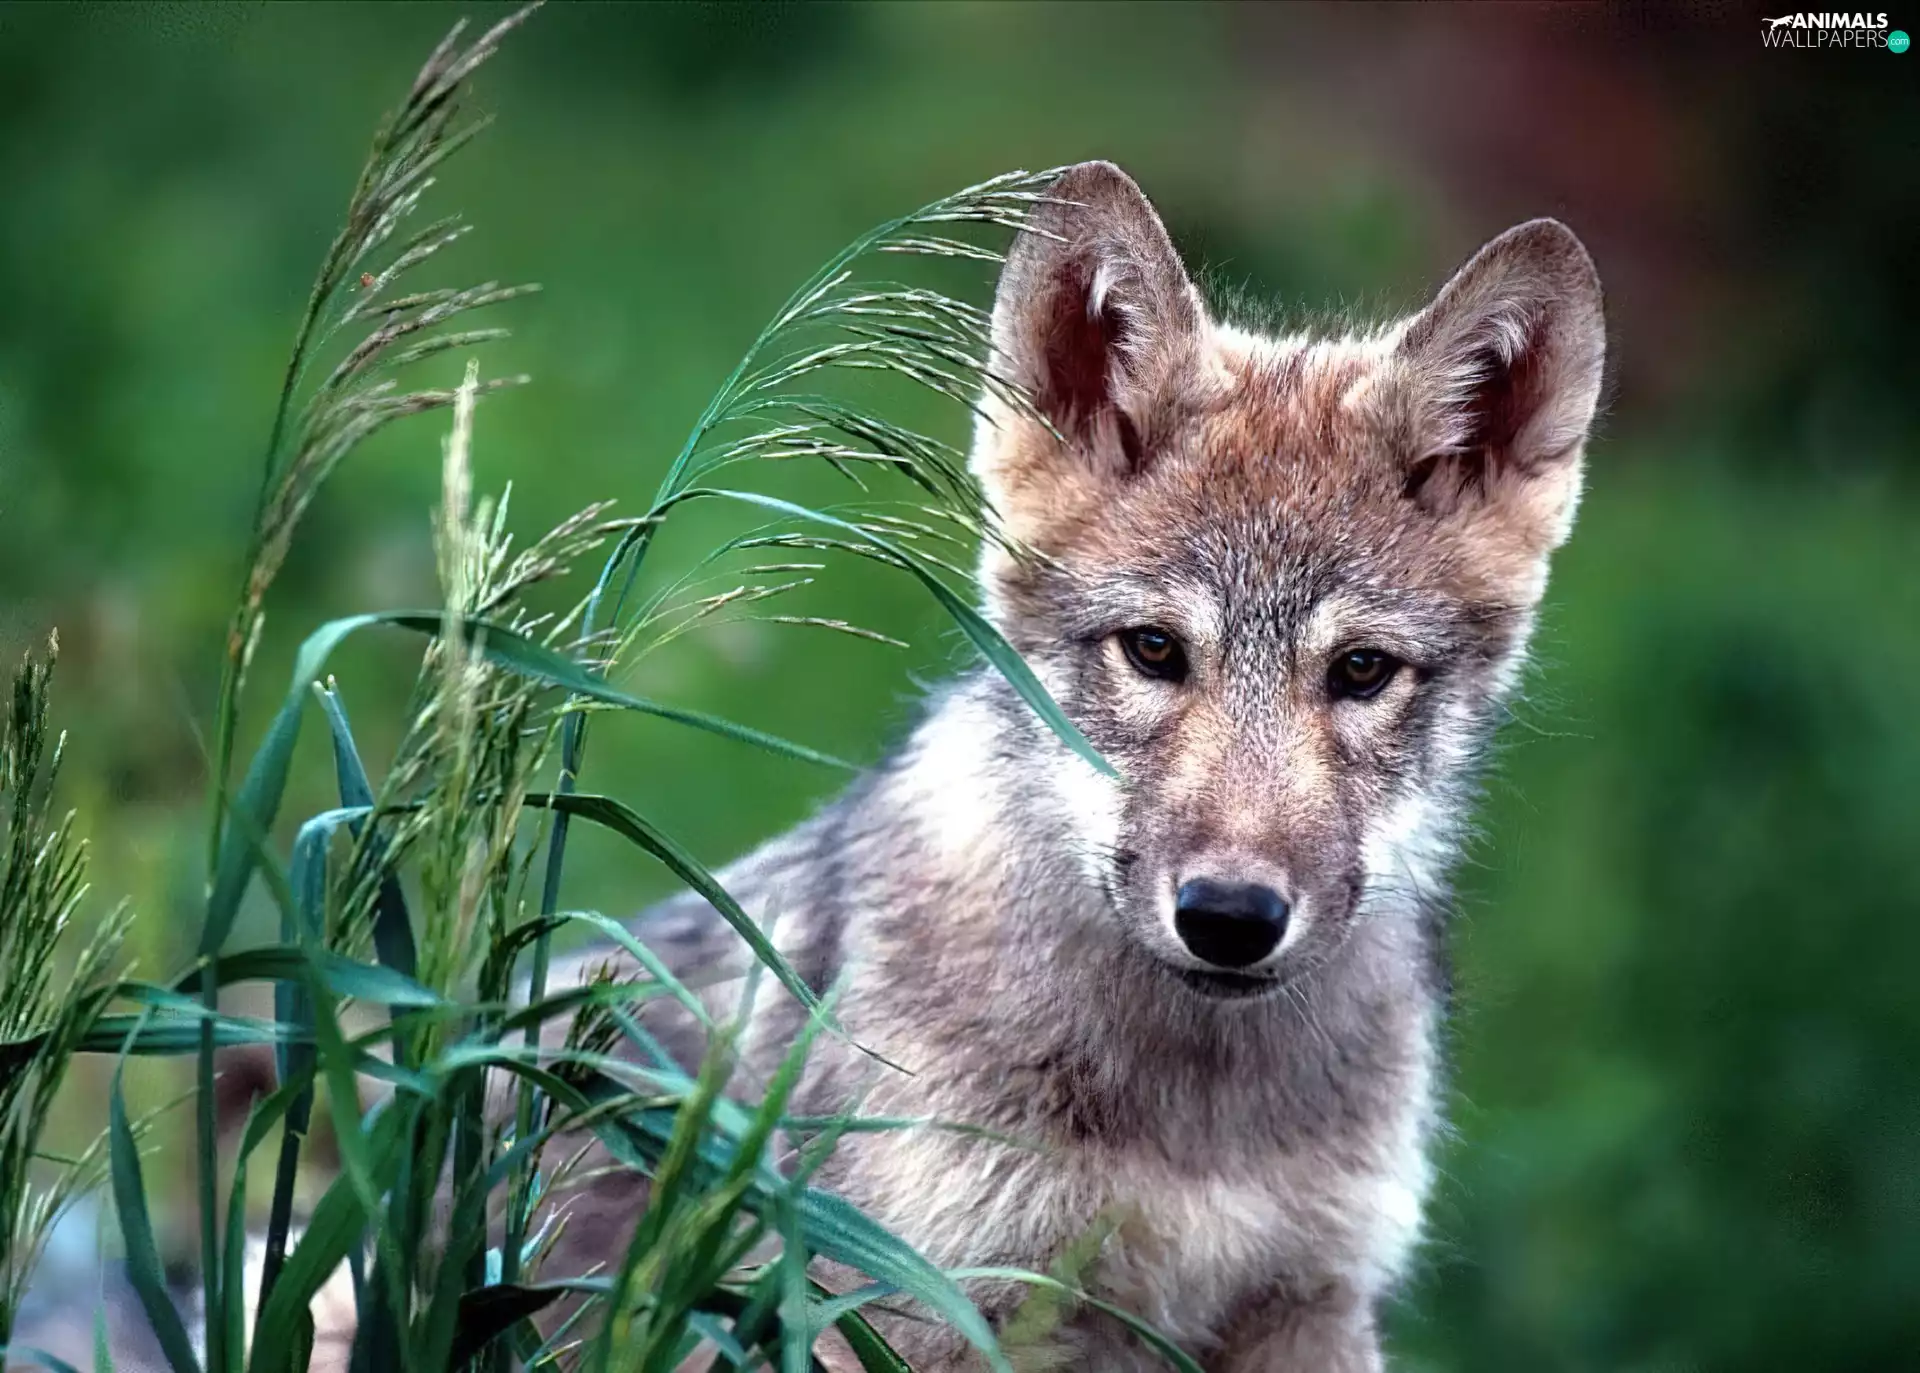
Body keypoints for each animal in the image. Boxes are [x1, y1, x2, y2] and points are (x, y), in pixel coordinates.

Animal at [537, 161, 1607, 1372]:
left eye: (1362, 670)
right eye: (1153, 650)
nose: (1229, 917)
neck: (1199, 1119)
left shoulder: (1313, 1303)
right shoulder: (922, 1310)